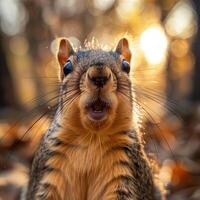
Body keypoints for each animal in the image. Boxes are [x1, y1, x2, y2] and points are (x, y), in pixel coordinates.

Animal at [21, 38, 165, 200]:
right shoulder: (48, 168)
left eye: (126, 66)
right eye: (67, 67)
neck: (91, 137)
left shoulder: (128, 169)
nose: (99, 76)